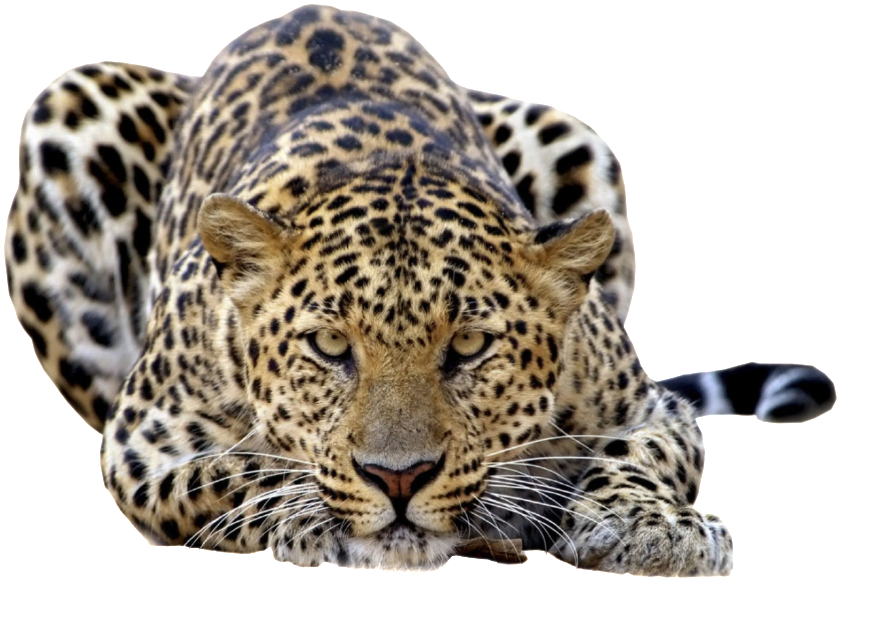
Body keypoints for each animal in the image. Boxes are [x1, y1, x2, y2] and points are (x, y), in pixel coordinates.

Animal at [3, 4, 837, 575]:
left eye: (468, 346)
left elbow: (642, 451)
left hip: (575, 136)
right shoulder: (142, 442)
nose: (398, 478)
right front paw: (309, 513)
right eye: (328, 346)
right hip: (68, 103)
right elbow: (235, 469)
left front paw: (652, 525)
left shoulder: (646, 405)